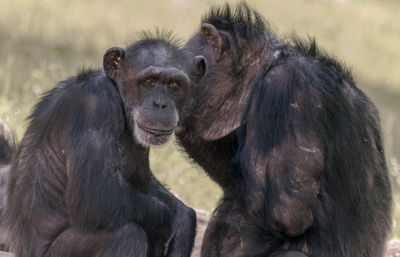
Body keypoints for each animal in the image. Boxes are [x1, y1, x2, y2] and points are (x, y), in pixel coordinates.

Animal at [1, 34, 205, 256]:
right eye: (149, 81)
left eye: (174, 85)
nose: (160, 104)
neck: (117, 92)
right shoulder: (94, 106)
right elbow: (97, 196)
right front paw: (167, 219)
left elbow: (142, 182)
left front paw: (184, 219)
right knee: (127, 233)